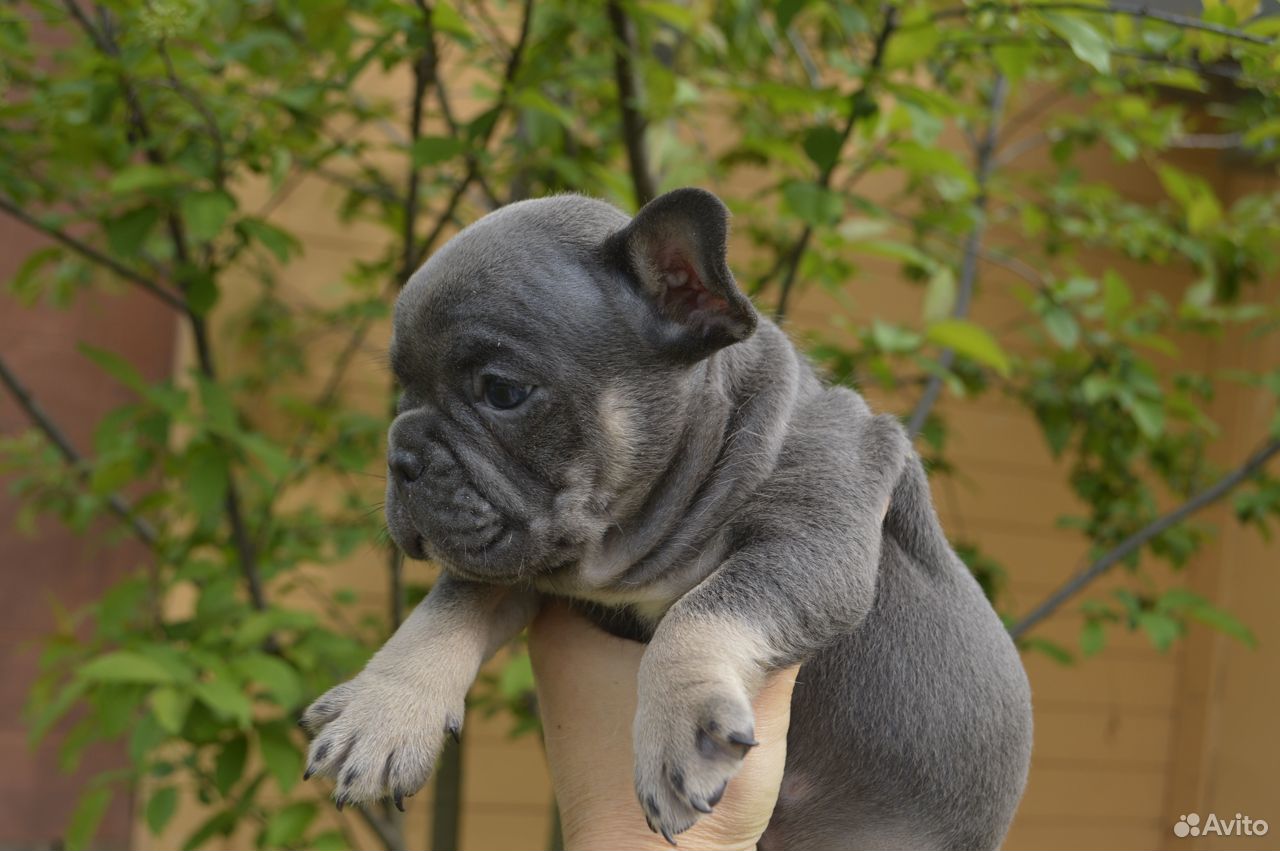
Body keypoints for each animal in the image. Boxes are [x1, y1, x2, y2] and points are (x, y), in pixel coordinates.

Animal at [302, 188, 1039, 849]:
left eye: (502, 392)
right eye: (403, 389)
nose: (401, 455)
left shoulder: (814, 536)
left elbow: (702, 609)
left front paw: (682, 719)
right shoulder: (515, 560)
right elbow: (447, 606)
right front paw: (381, 712)